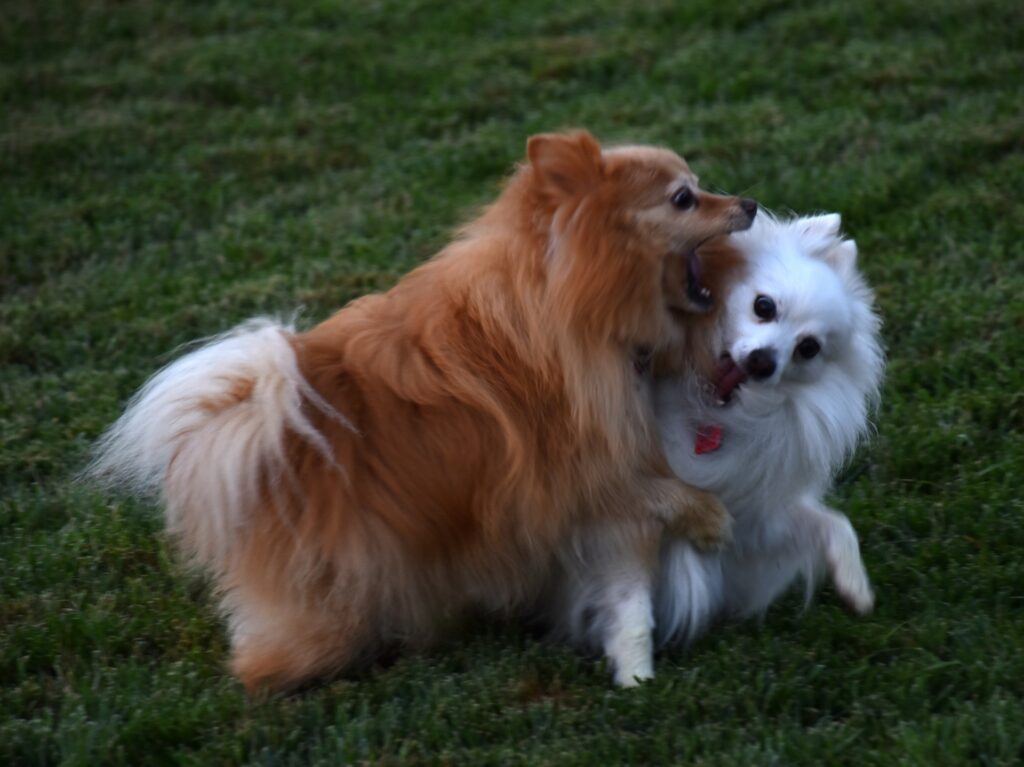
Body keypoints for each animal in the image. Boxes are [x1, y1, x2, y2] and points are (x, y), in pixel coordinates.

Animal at [94, 130, 753, 688]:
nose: (747, 201)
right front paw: (710, 520)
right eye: (684, 198)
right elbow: (664, 491)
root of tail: (258, 436)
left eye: (699, 185)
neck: (572, 304)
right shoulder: (574, 469)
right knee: (273, 660)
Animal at [540, 211, 884, 684]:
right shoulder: (623, 514)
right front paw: (636, 679)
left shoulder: (750, 515)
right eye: (764, 306)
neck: (706, 413)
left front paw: (856, 586)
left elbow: (833, 523)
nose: (763, 361)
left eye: (808, 349)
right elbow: (630, 604)